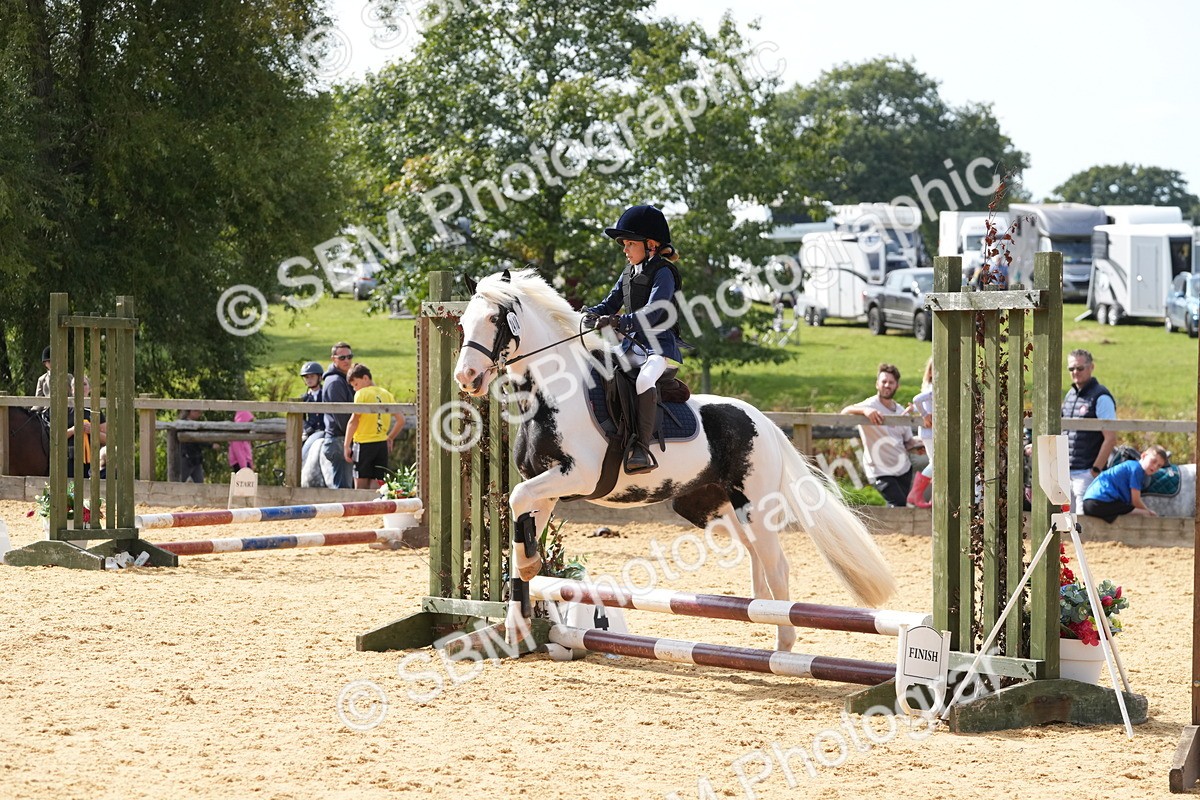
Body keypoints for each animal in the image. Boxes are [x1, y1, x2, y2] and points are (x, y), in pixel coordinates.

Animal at [453, 269, 897, 651]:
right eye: (463, 323)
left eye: (494, 319)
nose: (466, 378)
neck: (553, 393)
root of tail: (765, 423)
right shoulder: (545, 486)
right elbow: (520, 515)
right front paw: (521, 602)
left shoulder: (578, 476)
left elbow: (516, 500)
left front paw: (527, 576)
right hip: (714, 508)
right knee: (756, 554)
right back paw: (760, 612)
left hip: (756, 505)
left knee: (778, 566)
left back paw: (784, 644)